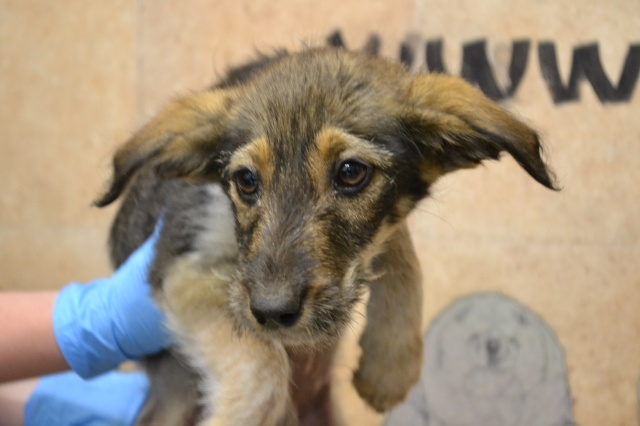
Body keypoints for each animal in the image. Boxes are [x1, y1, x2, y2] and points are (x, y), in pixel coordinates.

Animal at [95, 45, 557, 425]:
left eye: (351, 173)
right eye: (245, 181)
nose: (272, 312)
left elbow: (401, 252)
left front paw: (390, 364)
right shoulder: (180, 269)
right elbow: (262, 368)